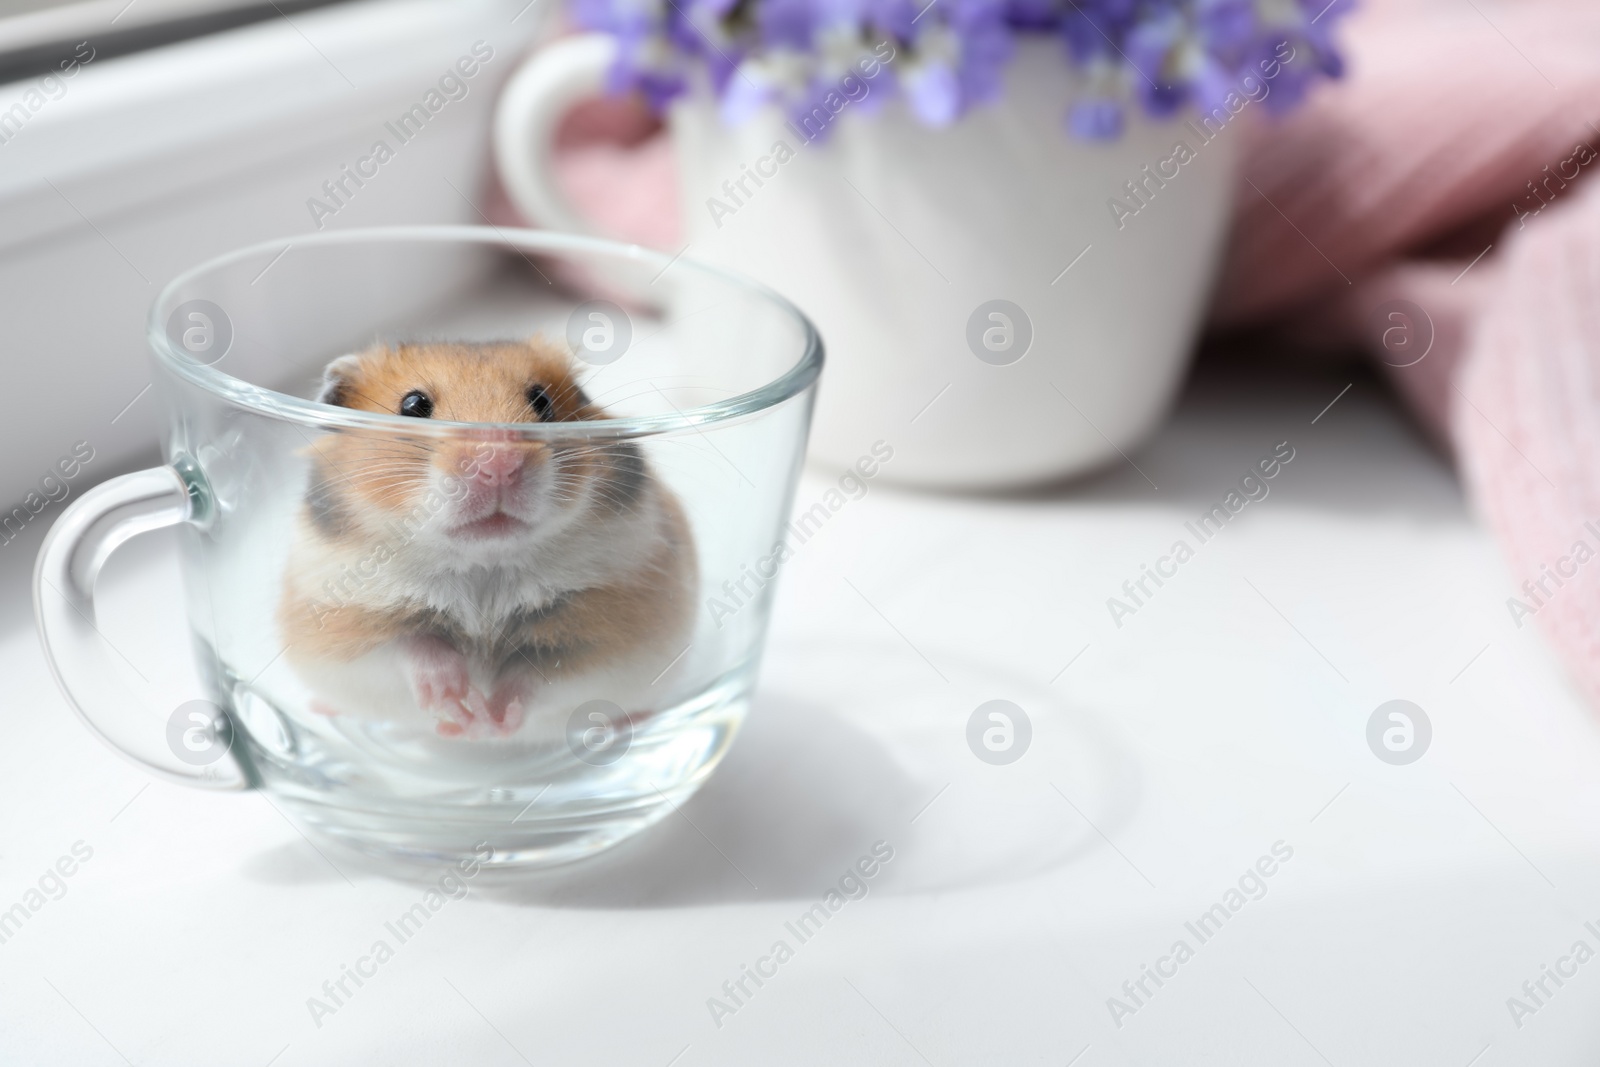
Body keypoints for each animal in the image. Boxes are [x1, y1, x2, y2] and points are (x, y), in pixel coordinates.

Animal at [273, 337, 694, 739]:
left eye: (542, 401)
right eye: (413, 405)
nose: (499, 463)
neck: (483, 562)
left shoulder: (609, 635)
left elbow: (535, 676)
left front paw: (489, 719)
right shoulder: (347, 630)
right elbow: (414, 648)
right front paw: (457, 707)